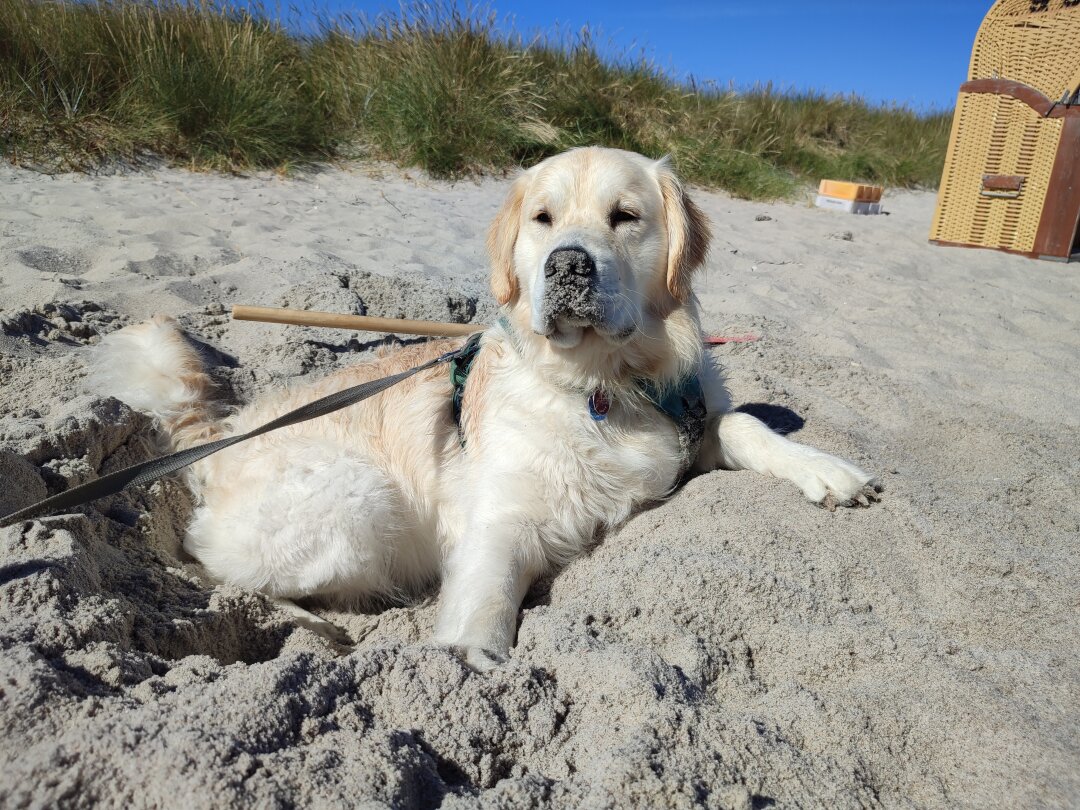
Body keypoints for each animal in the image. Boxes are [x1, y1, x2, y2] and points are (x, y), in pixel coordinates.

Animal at [95, 149, 876, 669]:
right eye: (543, 219)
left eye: (626, 218)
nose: (568, 264)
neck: (601, 385)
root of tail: (224, 430)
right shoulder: (499, 516)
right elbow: (487, 600)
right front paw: (467, 664)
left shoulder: (687, 419)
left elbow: (744, 421)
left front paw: (829, 471)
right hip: (360, 499)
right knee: (219, 568)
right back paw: (320, 626)